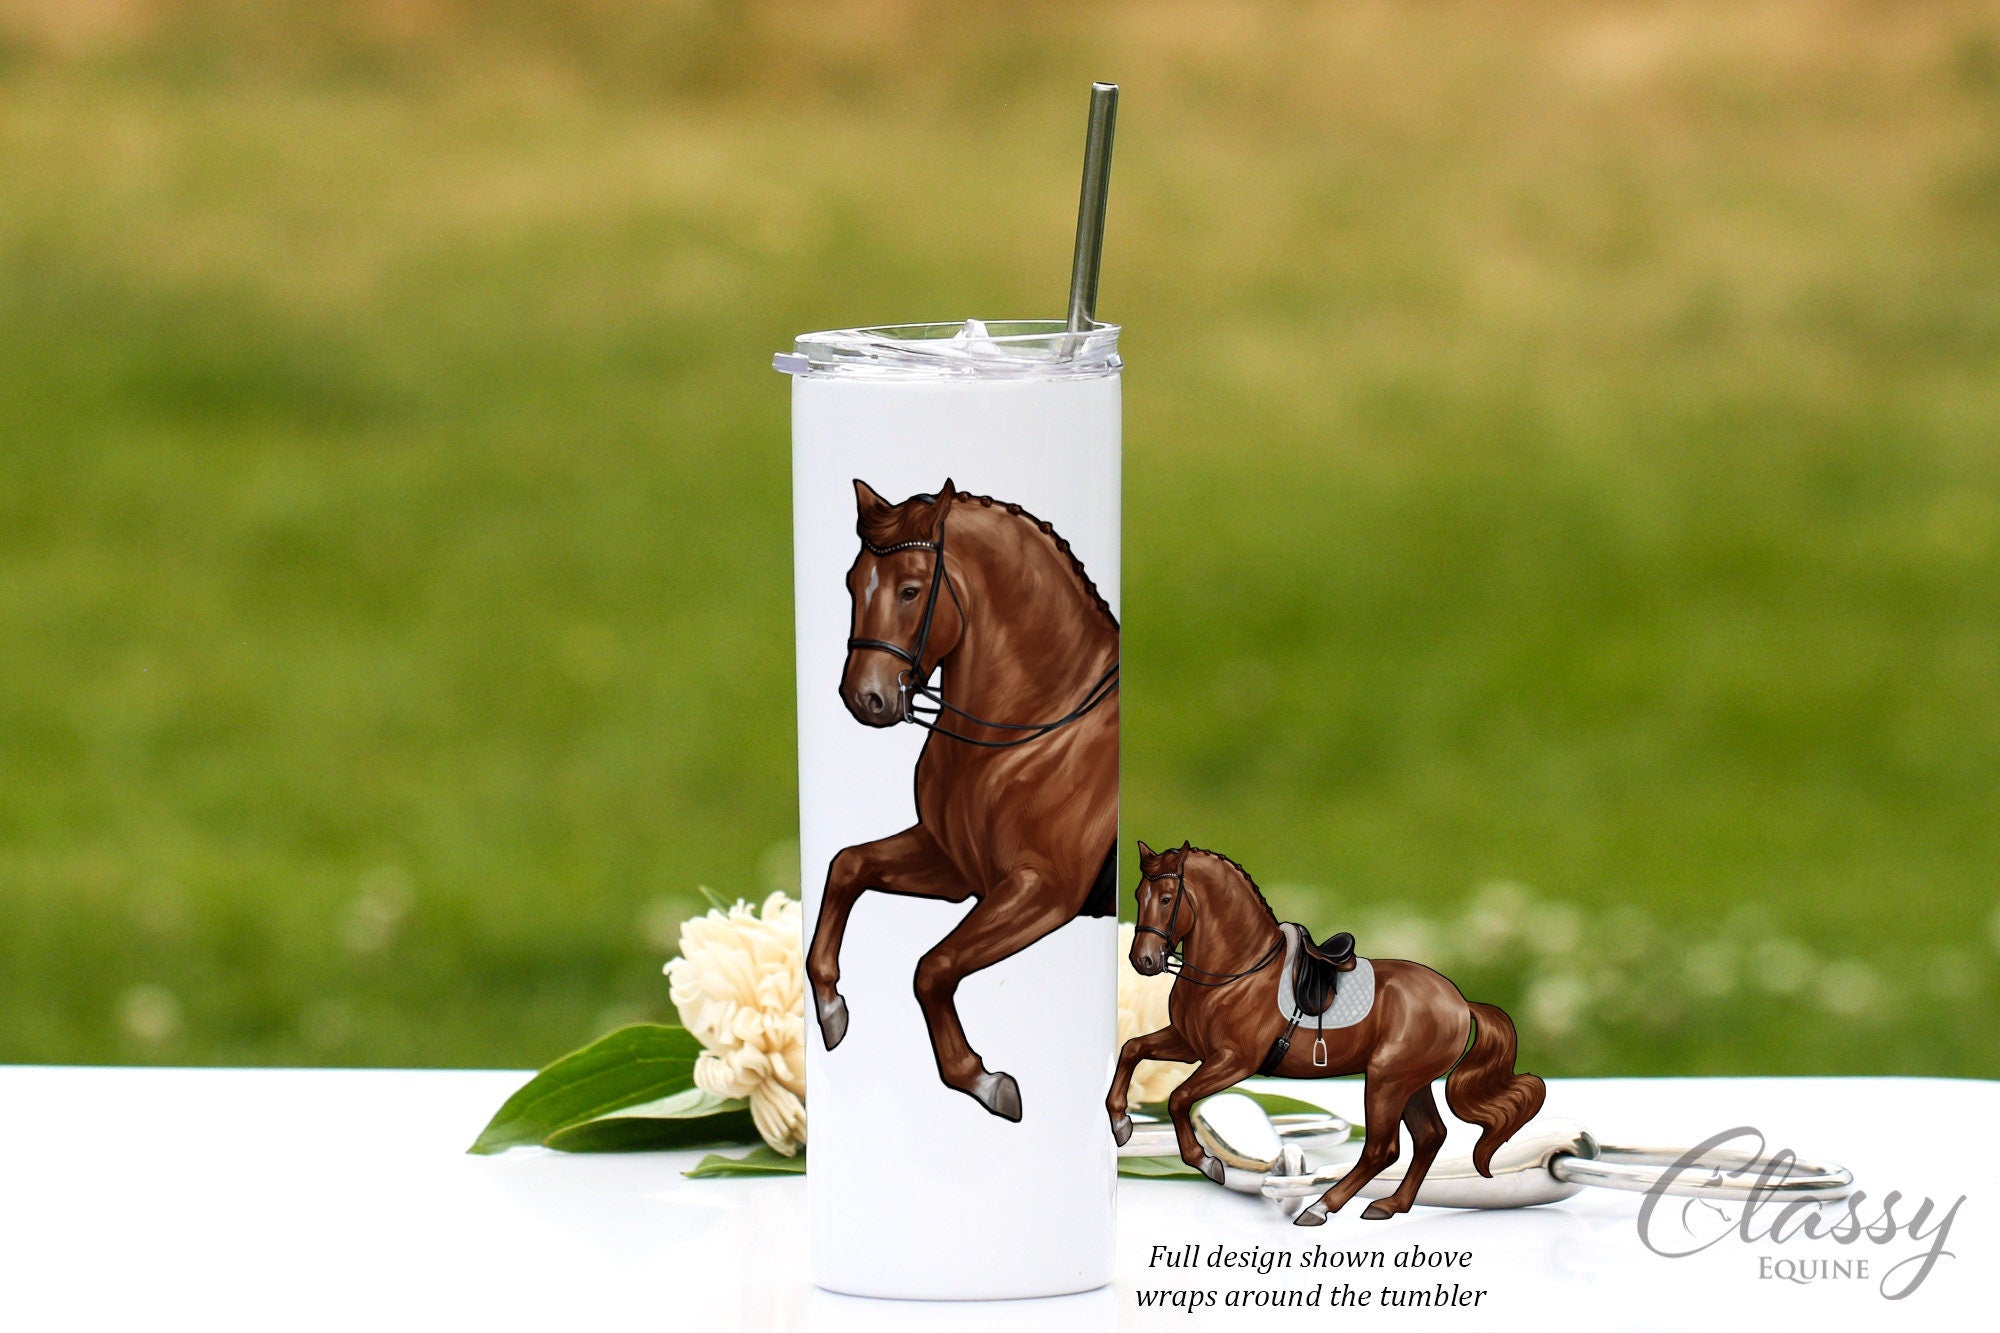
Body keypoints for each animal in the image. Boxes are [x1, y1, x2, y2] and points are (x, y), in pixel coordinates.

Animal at [807, 479, 1120, 1121]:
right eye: (852, 583)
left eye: (910, 590)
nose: (864, 699)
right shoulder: (958, 868)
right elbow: (848, 865)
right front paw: (830, 1006)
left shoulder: (1042, 891)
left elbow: (934, 967)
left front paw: (984, 1080)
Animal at [1108, 841, 1547, 1222]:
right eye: (1138, 894)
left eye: (1167, 899)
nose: (1143, 960)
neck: (1238, 970)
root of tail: (1459, 1001)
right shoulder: (1188, 1045)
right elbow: (1132, 1049)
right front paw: (1121, 1124)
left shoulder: (1234, 1061)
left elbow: (1179, 1098)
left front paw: (1206, 1162)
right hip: (1411, 1083)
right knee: (1430, 1137)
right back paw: (1390, 1205)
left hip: (1386, 1081)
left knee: (1382, 1149)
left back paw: (1321, 1207)